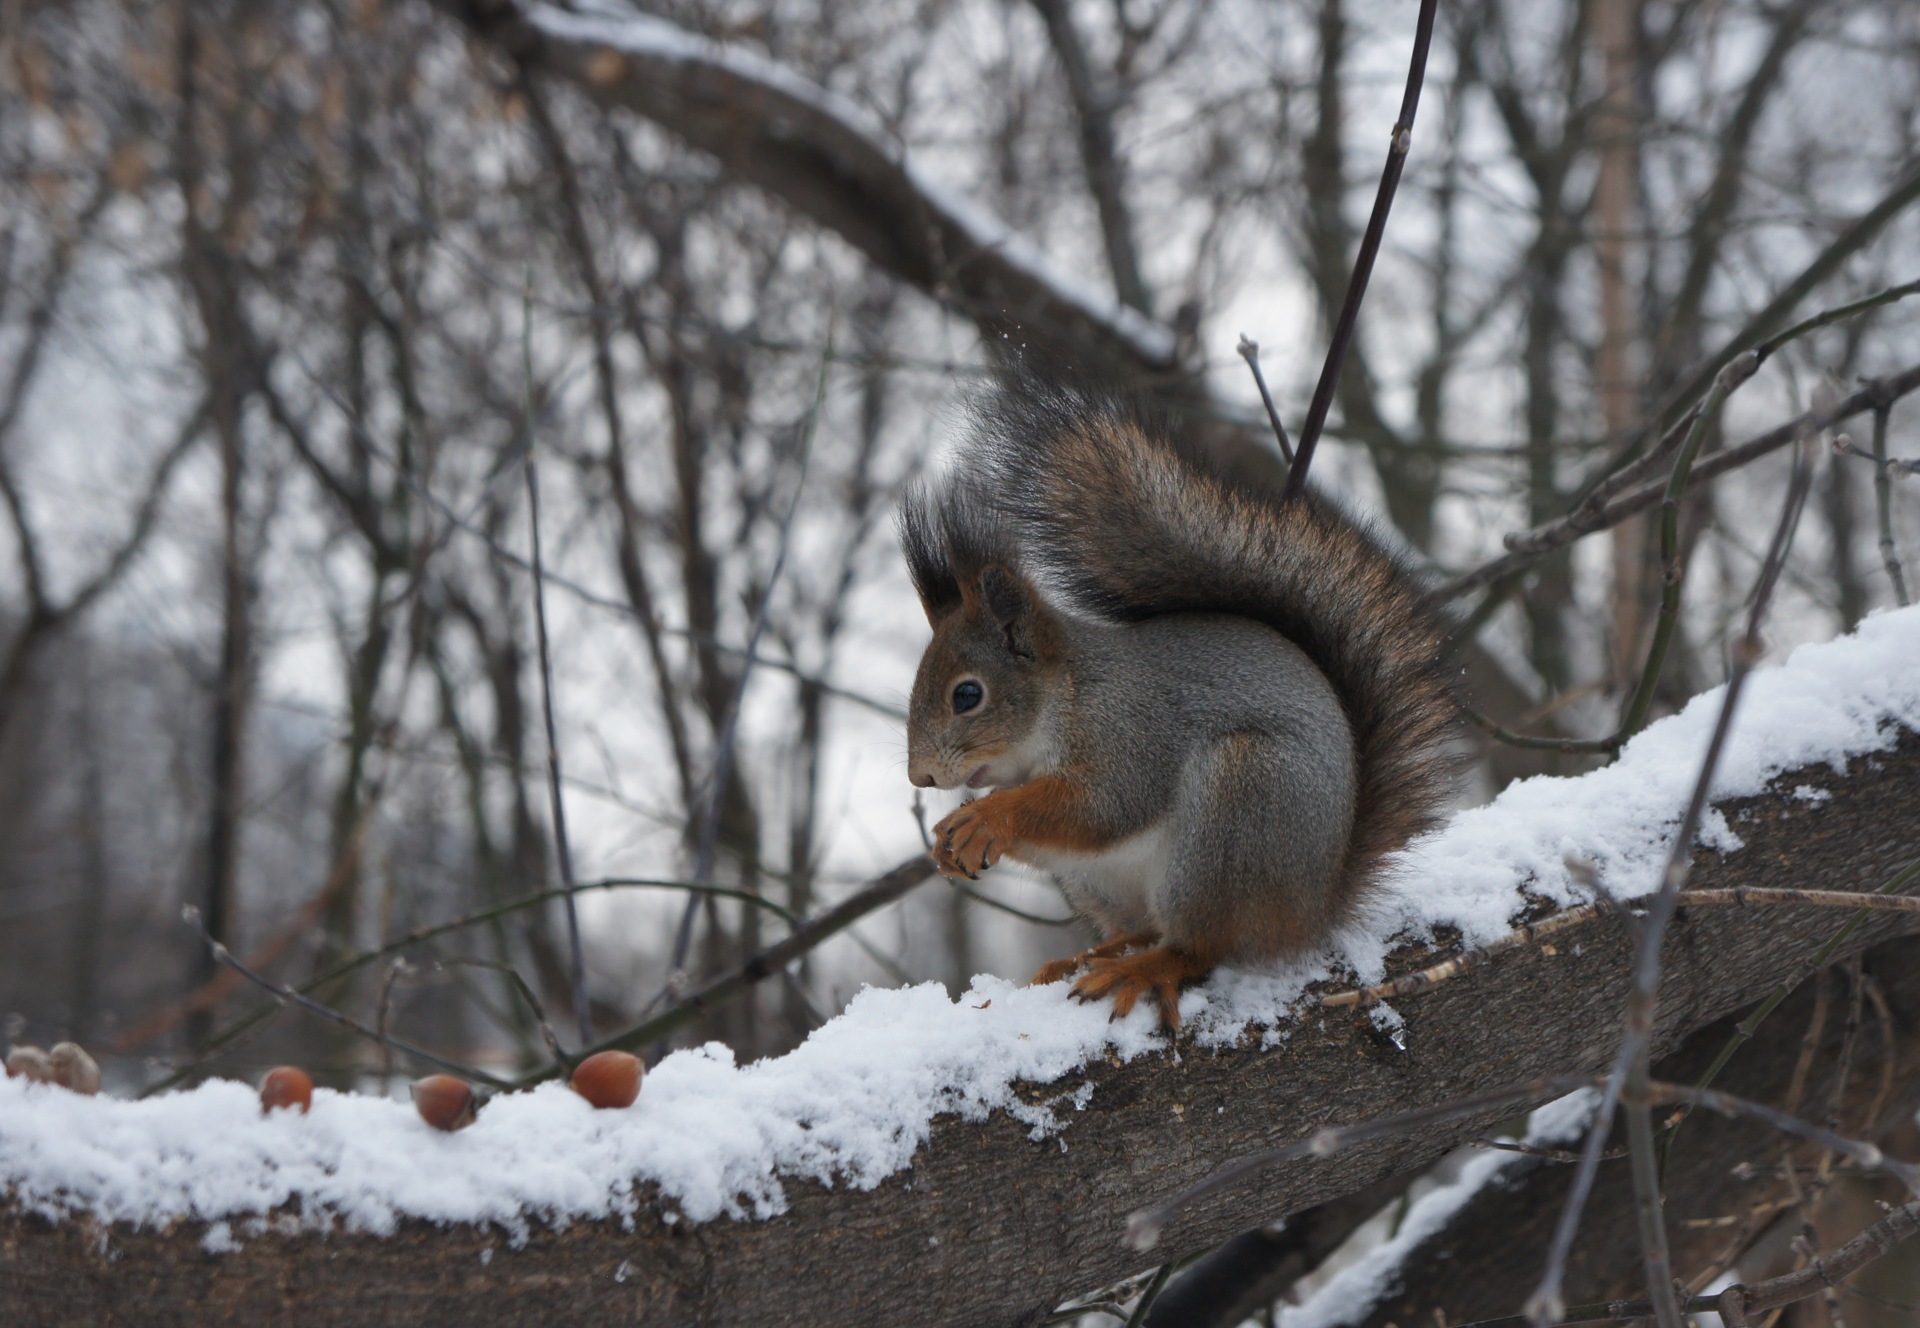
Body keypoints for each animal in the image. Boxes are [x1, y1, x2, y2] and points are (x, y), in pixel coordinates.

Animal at [898, 374, 1451, 1028]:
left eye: (967, 694)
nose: (921, 776)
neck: (1066, 699)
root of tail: (1313, 908)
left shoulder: (1130, 730)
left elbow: (1101, 806)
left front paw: (988, 817)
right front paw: (947, 838)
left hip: (1236, 811)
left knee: (1202, 945)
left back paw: (1142, 967)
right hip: (1100, 881)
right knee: (1141, 926)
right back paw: (1092, 954)